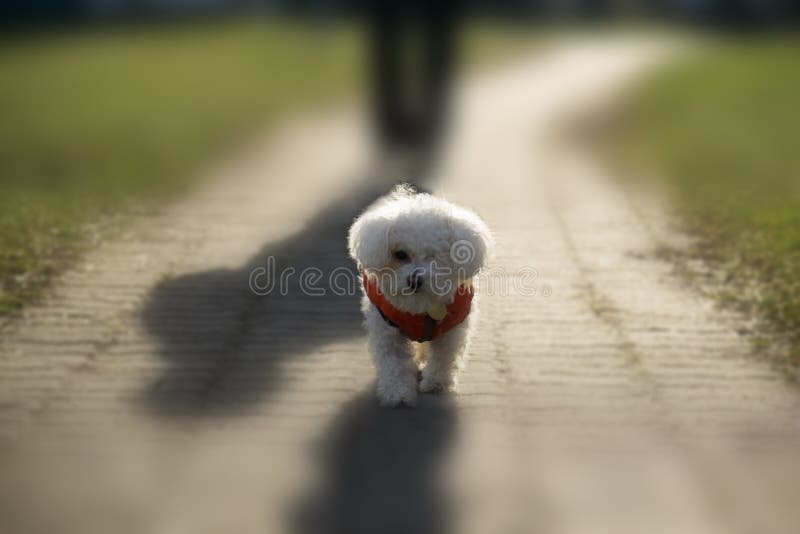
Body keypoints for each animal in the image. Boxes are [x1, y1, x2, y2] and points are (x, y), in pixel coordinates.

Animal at [346, 186, 490, 408]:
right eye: (400, 254)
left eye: (434, 256)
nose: (415, 280)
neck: (421, 308)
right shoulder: (386, 329)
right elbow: (393, 362)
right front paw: (397, 392)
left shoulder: (452, 328)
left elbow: (443, 357)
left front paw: (436, 383)